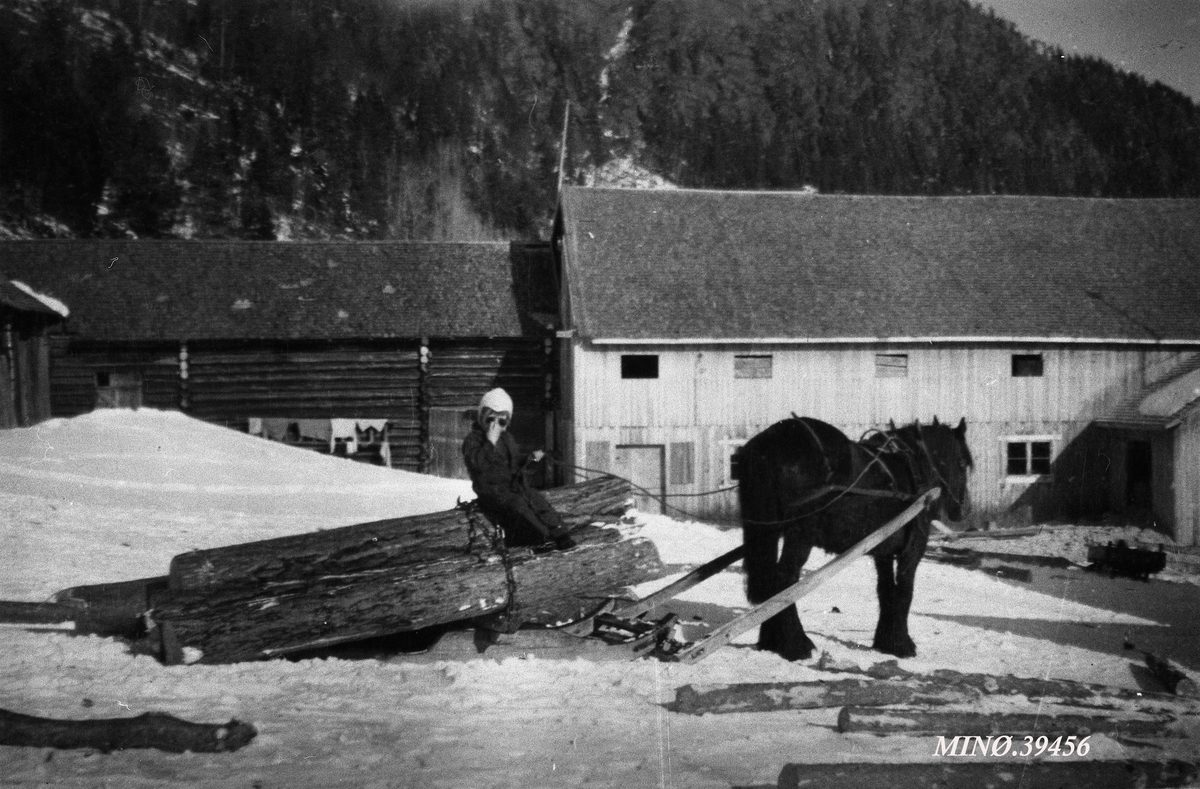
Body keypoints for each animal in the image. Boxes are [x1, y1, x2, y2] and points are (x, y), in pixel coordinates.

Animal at [734, 414, 969, 661]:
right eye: (963, 464)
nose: (960, 510)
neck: (916, 468)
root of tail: (773, 442)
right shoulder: (913, 548)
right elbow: (905, 590)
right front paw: (902, 644)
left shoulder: (883, 550)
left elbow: (886, 590)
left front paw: (886, 642)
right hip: (800, 535)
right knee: (784, 580)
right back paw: (795, 645)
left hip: (766, 530)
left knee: (768, 580)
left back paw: (771, 641)